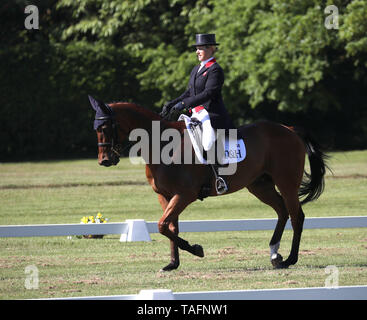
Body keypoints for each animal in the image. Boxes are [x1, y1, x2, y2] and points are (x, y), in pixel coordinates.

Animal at [88, 96, 328, 272]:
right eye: (96, 128)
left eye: (106, 127)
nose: (104, 160)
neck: (163, 144)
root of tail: (289, 129)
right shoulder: (165, 195)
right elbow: (170, 226)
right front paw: (173, 264)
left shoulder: (185, 194)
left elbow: (162, 225)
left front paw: (196, 249)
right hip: (260, 186)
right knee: (282, 211)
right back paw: (275, 254)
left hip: (287, 184)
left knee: (297, 216)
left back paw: (289, 259)